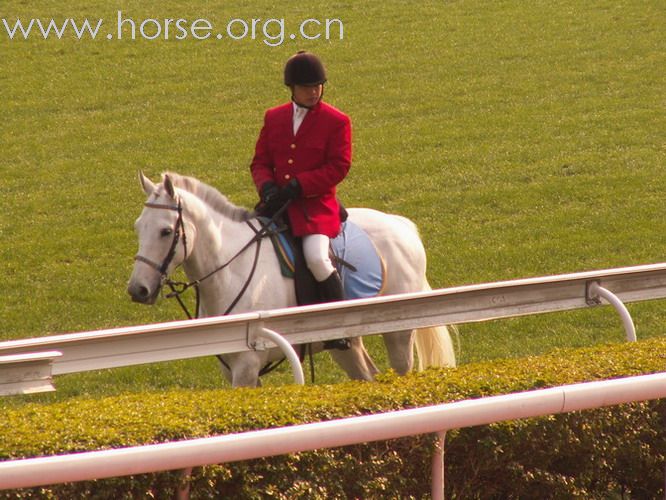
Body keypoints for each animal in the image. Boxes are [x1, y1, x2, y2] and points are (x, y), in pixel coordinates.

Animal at [127, 172, 454, 386]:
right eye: (138, 227)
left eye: (166, 231)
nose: (137, 290)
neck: (231, 269)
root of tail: (402, 225)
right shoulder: (233, 368)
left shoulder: (246, 366)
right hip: (347, 345)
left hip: (399, 334)